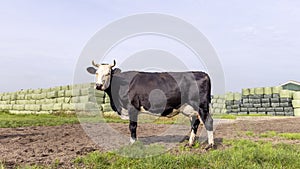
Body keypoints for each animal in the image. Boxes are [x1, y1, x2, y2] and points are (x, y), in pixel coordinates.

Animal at [85, 60, 214, 147]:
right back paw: (190, 144)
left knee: (208, 121)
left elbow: (132, 126)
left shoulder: (132, 107)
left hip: (201, 105)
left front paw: (133, 143)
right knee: (195, 123)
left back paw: (210, 145)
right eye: (96, 73)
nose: (98, 85)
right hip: (191, 108)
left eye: (108, 73)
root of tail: (203, 74)